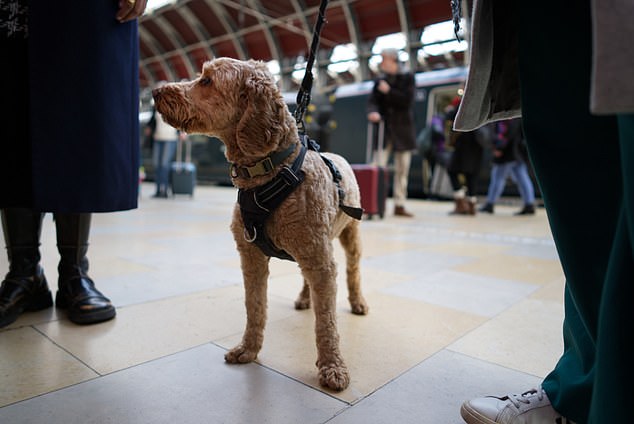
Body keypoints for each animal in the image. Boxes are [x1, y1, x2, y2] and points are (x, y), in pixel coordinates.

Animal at [152, 57, 366, 390]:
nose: (155, 91)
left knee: (353, 270)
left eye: (207, 80)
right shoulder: (252, 256)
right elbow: (254, 307)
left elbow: (327, 321)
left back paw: (357, 302)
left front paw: (333, 367)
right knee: (308, 279)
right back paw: (305, 298)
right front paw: (248, 350)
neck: (271, 173)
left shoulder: (319, 259)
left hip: (348, 236)